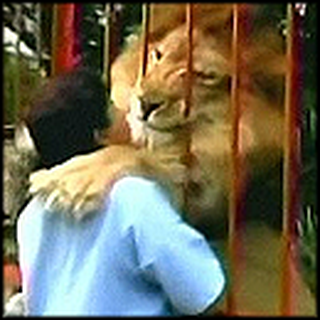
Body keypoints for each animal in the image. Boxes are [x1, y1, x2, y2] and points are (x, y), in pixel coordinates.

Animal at [28, 4, 316, 316]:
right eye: (158, 55)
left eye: (203, 75)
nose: (145, 102)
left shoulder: (211, 202)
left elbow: (141, 159)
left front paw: (72, 179)